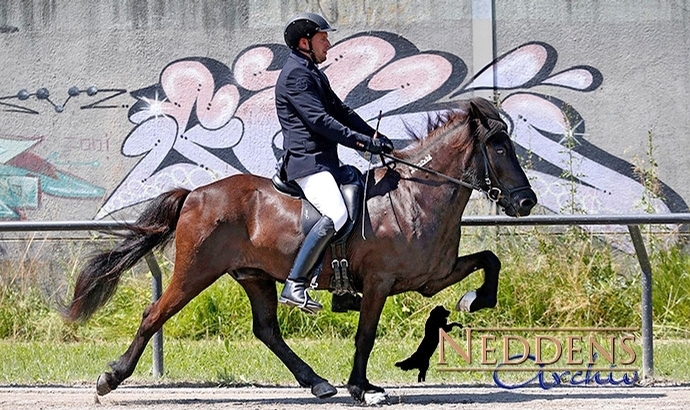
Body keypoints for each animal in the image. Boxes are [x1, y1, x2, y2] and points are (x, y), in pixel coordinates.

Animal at [61, 96, 536, 404]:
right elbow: (366, 334)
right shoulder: (380, 282)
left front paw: (476, 300)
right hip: (196, 271)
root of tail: (195, 193)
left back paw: (317, 382)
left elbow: (490, 261)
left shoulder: (431, 277)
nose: (526, 202)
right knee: (154, 315)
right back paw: (110, 378)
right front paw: (362, 388)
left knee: (267, 330)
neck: (414, 197)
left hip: (253, 276)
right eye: (498, 147)